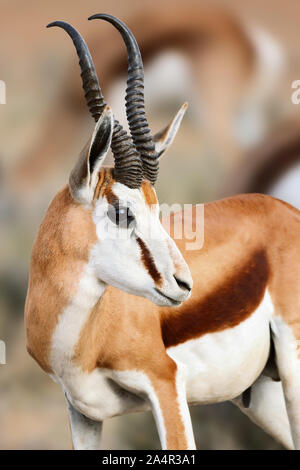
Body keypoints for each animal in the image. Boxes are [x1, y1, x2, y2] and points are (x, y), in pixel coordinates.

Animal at [25, 13, 300, 448]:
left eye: (158, 207)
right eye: (122, 212)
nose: (184, 285)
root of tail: (286, 211)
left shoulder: (165, 385)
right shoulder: (81, 412)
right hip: (262, 395)